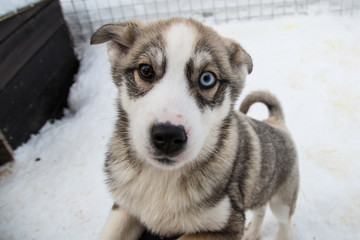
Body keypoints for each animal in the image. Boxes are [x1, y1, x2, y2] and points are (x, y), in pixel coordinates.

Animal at [91, 17, 300, 240]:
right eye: (145, 70)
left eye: (207, 78)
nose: (168, 136)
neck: (162, 176)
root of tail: (275, 120)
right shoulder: (125, 207)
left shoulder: (227, 224)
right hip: (259, 189)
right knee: (260, 208)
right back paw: (252, 233)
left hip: (282, 199)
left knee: (284, 222)